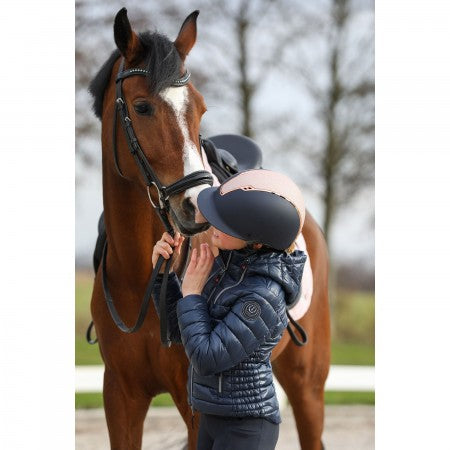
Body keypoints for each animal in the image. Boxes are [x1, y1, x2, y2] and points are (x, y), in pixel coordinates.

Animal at [89, 7, 330, 450]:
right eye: (142, 107)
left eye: (199, 109)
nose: (196, 207)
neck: (139, 276)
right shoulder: (120, 396)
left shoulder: (197, 407)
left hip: (308, 385)